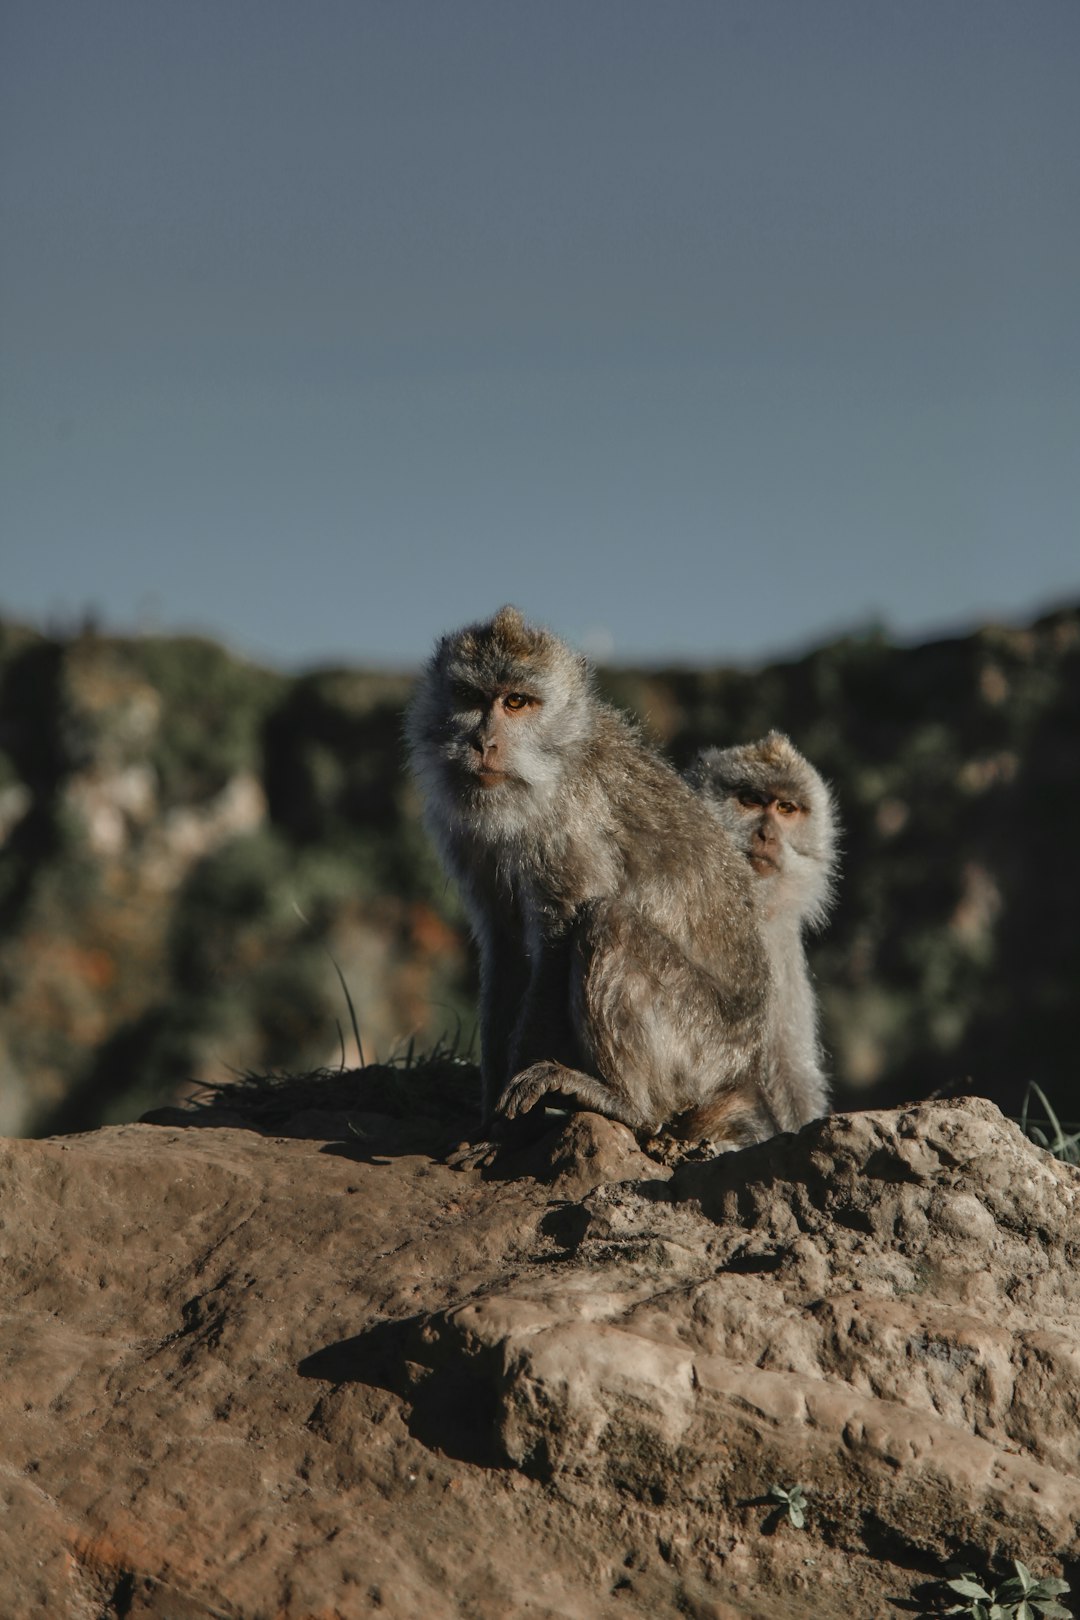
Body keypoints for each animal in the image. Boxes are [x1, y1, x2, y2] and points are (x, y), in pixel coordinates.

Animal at [404, 602, 777, 1146]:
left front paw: (505, 1133)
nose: (483, 742)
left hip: (700, 1052)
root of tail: (743, 1070)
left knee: (608, 922)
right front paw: (487, 1118)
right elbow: (507, 947)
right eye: (471, 697)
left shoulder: (566, 828)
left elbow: (558, 942)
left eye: (517, 702)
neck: (549, 767)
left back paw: (627, 1105)